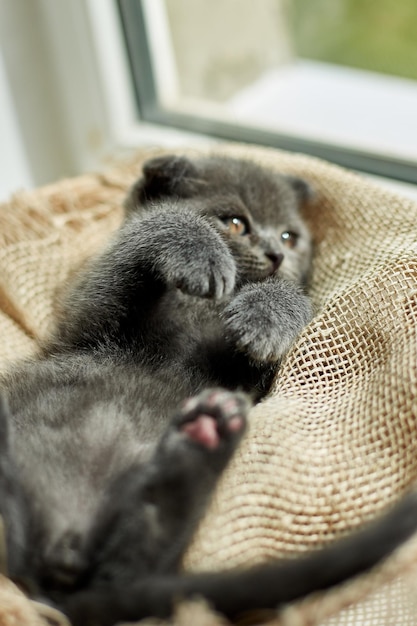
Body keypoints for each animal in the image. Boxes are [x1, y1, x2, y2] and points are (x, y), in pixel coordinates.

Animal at [0, 152, 416, 624]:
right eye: (234, 222)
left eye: (290, 236)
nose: (276, 254)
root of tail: (58, 553)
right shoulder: (85, 320)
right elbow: (147, 231)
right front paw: (200, 251)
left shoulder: (244, 380)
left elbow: (281, 309)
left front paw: (267, 315)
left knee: (130, 562)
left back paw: (206, 434)